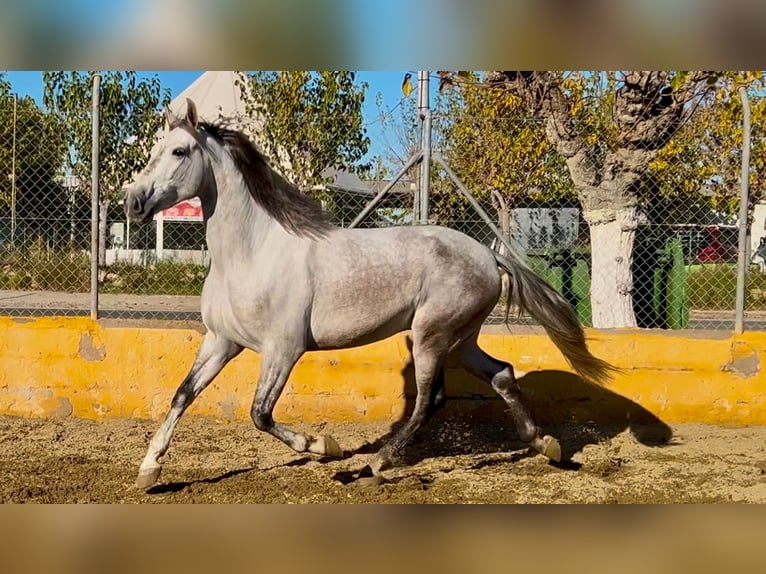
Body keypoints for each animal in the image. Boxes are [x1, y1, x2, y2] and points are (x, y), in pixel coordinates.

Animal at [123, 99, 620, 490]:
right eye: (152, 151)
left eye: (180, 151)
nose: (134, 203)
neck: (252, 253)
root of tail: (489, 257)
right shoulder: (221, 342)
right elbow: (182, 395)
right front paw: (149, 472)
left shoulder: (283, 349)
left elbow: (260, 413)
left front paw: (325, 446)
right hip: (461, 340)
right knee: (502, 374)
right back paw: (546, 445)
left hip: (431, 336)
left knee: (429, 401)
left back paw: (371, 466)